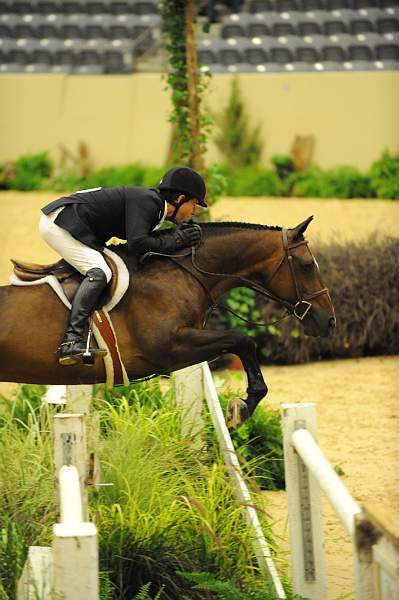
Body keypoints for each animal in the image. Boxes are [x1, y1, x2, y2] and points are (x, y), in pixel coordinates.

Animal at [0, 216, 334, 426]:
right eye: (307, 265)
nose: (329, 321)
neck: (181, 272)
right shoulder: (169, 349)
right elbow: (242, 340)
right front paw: (242, 407)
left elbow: (238, 344)